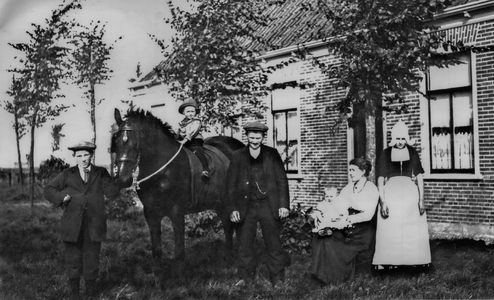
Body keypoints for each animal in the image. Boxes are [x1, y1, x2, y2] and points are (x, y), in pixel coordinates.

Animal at [111, 108, 244, 260]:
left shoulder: (176, 212)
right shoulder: (150, 213)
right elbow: (157, 251)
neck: (163, 171)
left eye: (136, 143)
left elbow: (179, 252)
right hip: (220, 203)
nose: (122, 178)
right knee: (228, 226)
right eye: (116, 141)